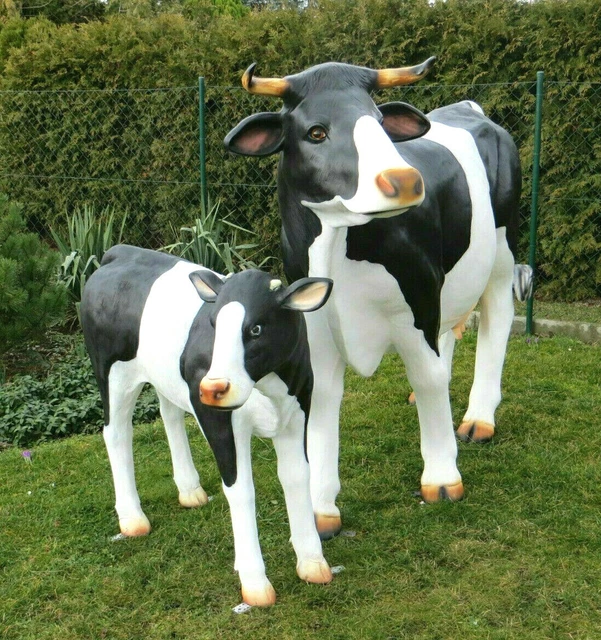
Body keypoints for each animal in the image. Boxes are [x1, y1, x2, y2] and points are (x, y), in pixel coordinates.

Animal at [80, 244, 334, 606]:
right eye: (213, 324)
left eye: (256, 329)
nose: (213, 388)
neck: (266, 386)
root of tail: (120, 251)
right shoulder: (219, 421)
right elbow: (242, 490)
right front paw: (254, 582)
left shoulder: (297, 410)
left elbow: (297, 477)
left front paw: (312, 562)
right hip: (111, 371)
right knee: (116, 432)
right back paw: (132, 518)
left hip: (167, 378)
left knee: (169, 414)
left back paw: (190, 491)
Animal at [224, 57, 531, 540]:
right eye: (316, 132)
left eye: (379, 122)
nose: (405, 180)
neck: (338, 247)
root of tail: (468, 107)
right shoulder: (314, 320)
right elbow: (325, 395)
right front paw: (321, 505)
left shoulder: (418, 296)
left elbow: (427, 377)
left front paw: (442, 477)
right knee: (447, 334)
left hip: (502, 249)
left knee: (496, 317)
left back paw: (479, 418)